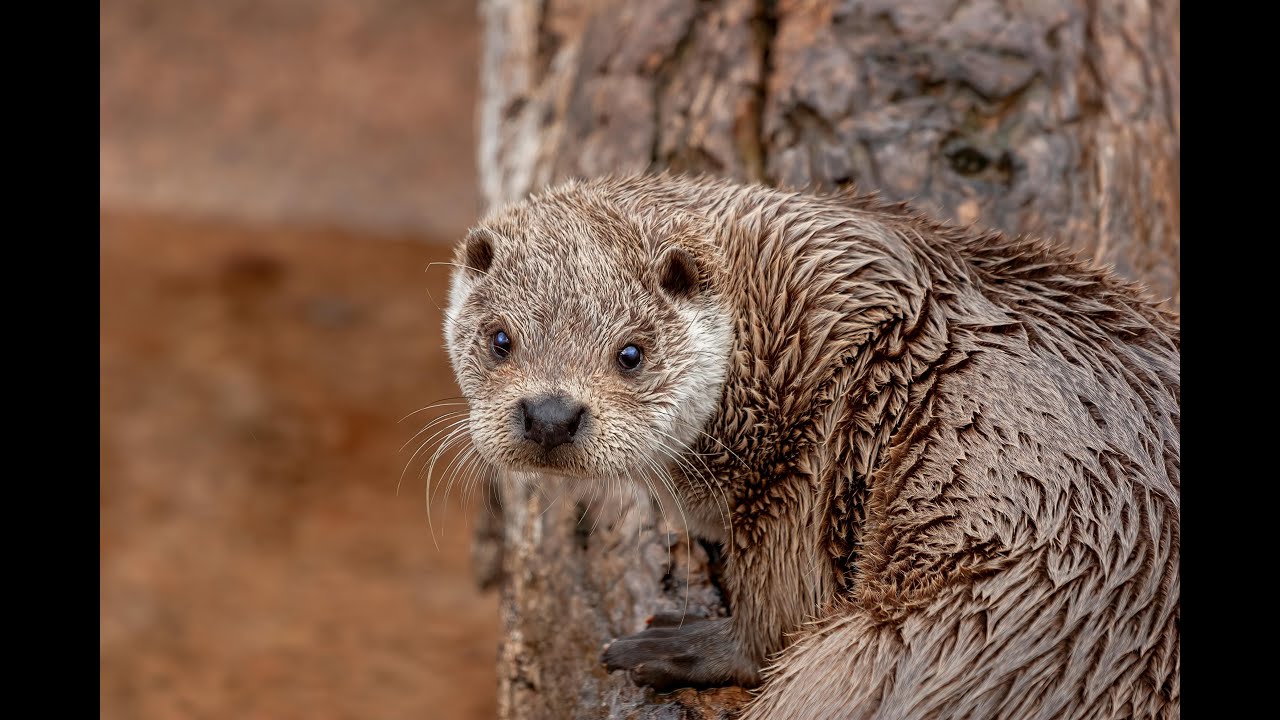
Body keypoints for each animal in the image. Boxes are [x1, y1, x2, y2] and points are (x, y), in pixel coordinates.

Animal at [443, 174, 1179, 719]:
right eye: (500, 338)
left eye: (631, 353)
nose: (550, 414)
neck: (788, 323)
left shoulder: (811, 450)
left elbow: (781, 610)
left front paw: (679, 646)